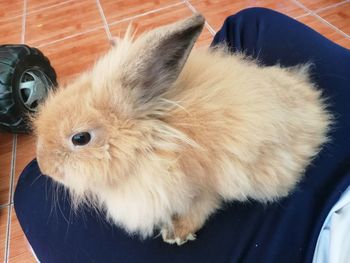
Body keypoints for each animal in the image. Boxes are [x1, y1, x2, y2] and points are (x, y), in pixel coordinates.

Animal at [34, 13, 332, 245]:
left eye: (80, 138)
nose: (44, 167)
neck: (153, 139)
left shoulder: (205, 185)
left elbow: (203, 205)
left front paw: (177, 233)